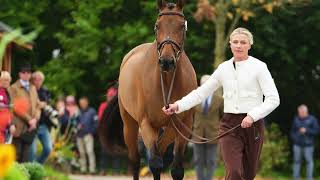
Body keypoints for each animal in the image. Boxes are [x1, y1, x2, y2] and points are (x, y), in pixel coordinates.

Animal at [99, 0, 196, 179]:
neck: (166, 82)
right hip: (130, 126)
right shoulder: (146, 124)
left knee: (160, 149)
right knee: (136, 160)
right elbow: (155, 164)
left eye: (181, 26)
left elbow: (176, 169)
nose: (166, 62)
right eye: (157, 26)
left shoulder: (183, 125)